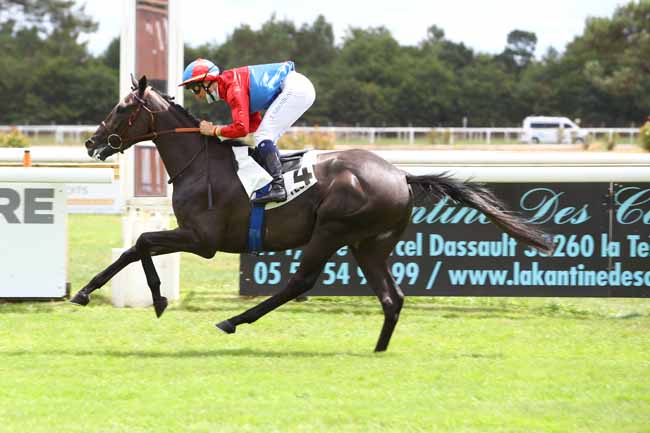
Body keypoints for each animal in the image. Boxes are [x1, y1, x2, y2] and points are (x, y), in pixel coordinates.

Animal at [71, 75, 554, 352]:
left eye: (122, 109)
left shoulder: (202, 239)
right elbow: (134, 247)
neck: (200, 161)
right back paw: (378, 351)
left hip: (331, 230)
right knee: (391, 297)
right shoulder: (193, 236)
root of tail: (400, 175)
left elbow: (141, 243)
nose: (91, 143)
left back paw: (234, 321)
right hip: (369, 245)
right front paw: (88, 292)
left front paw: (153, 298)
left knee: (301, 281)